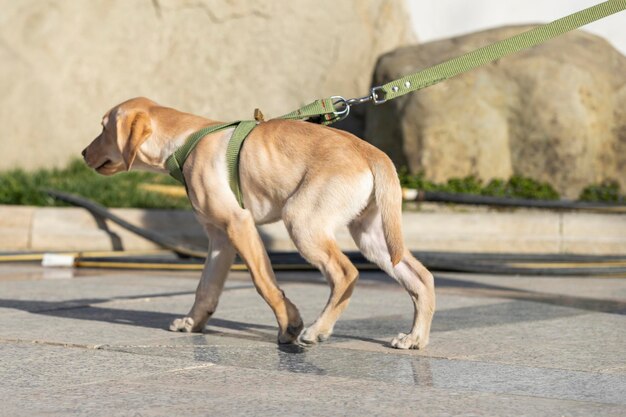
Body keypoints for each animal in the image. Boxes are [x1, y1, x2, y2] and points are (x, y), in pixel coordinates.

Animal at [81, 97, 434, 348]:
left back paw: (317, 330)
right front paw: (193, 323)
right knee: (421, 278)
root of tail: (371, 151)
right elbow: (206, 288)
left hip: (301, 219)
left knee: (346, 273)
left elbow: (264, 282)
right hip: (372, 236)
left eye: (103, 128)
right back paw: (415, 338)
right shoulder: (219, 238)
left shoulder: (239, 223)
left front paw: (289, 325)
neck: (185, 140)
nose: (83, 153)